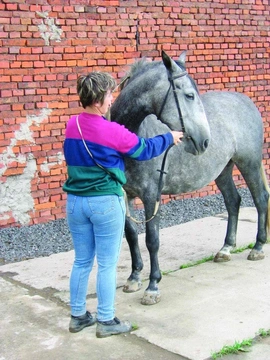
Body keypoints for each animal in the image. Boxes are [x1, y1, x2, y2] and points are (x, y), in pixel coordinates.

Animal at [110, 50, 270, 304]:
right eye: (189, 95)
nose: (204, 140)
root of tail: (245, 101)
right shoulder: (125, 195)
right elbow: (131, 235)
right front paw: (134, 278)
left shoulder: (151, 196)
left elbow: (152, 240)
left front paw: (152, 286)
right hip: (223, 170)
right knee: (233, 201)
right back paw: (226, 249)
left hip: (249, 163)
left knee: (260, 198)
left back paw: (257, 248)